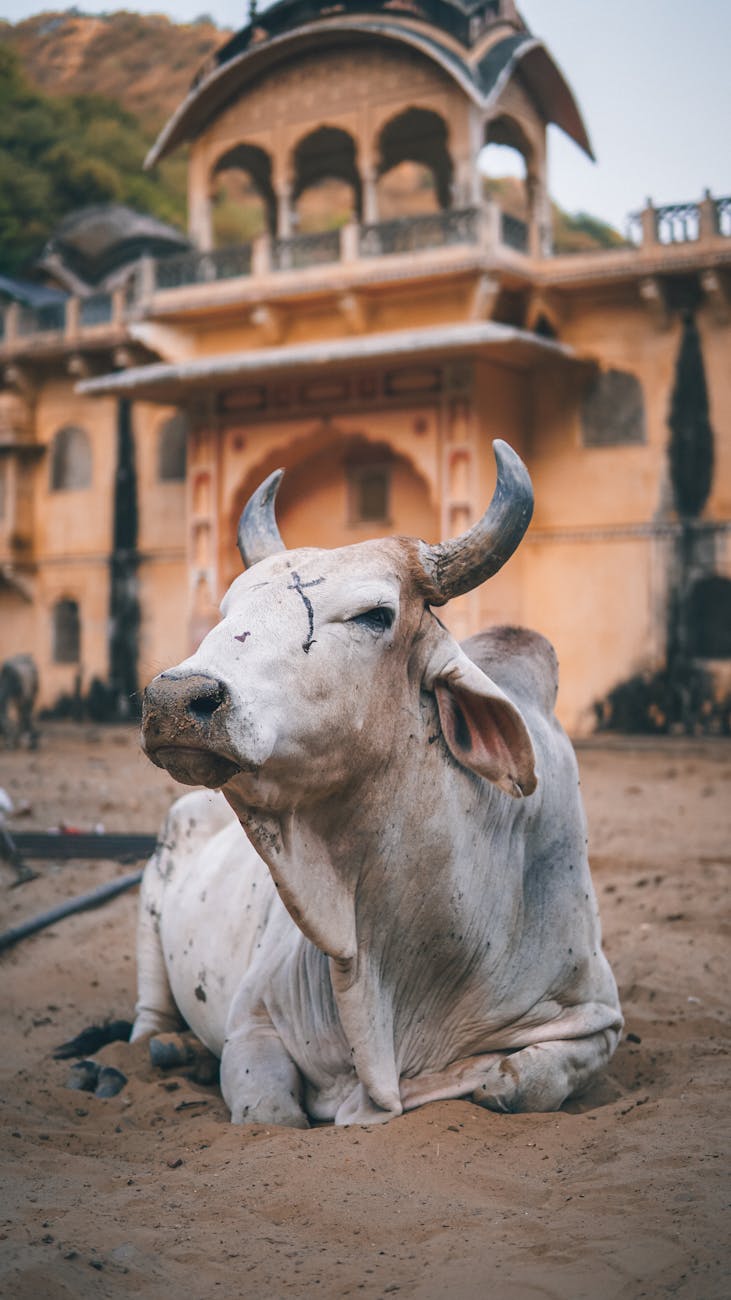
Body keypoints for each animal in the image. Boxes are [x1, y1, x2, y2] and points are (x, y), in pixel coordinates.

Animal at [137, 440, 622, 1127]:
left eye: (374, 615)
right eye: (227, 611)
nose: (174, 700)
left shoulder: (596, 1017)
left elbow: (521, 1082)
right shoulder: (255, 1021)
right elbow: (271, 1115)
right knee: (146, 1021)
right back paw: (171, 1048)